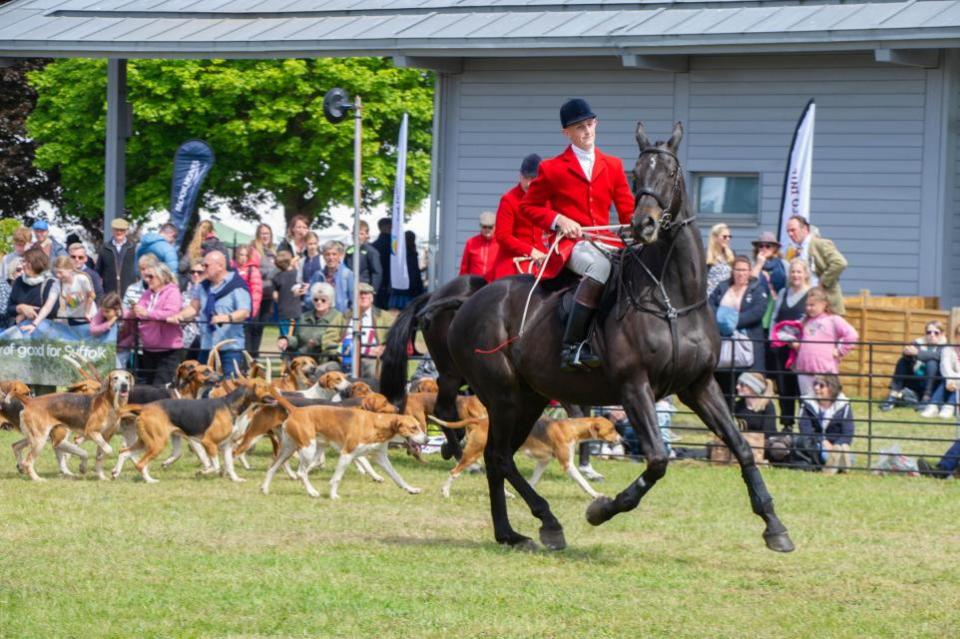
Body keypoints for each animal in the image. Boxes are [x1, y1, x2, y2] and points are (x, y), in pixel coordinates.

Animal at [446, 122, 792, 552]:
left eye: (671, 173)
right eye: (636, 175)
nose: (643, 225)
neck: (671, 298)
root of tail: (470, 301)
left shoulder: (698, 386)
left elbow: (743, 448)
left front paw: (774, 526)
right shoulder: (634, 387)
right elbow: (657, 460)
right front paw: (601, 510)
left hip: (529, 398)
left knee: (499, 457)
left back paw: (510, 533)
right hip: (504, 396)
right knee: (499, 456)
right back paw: (546, 521)